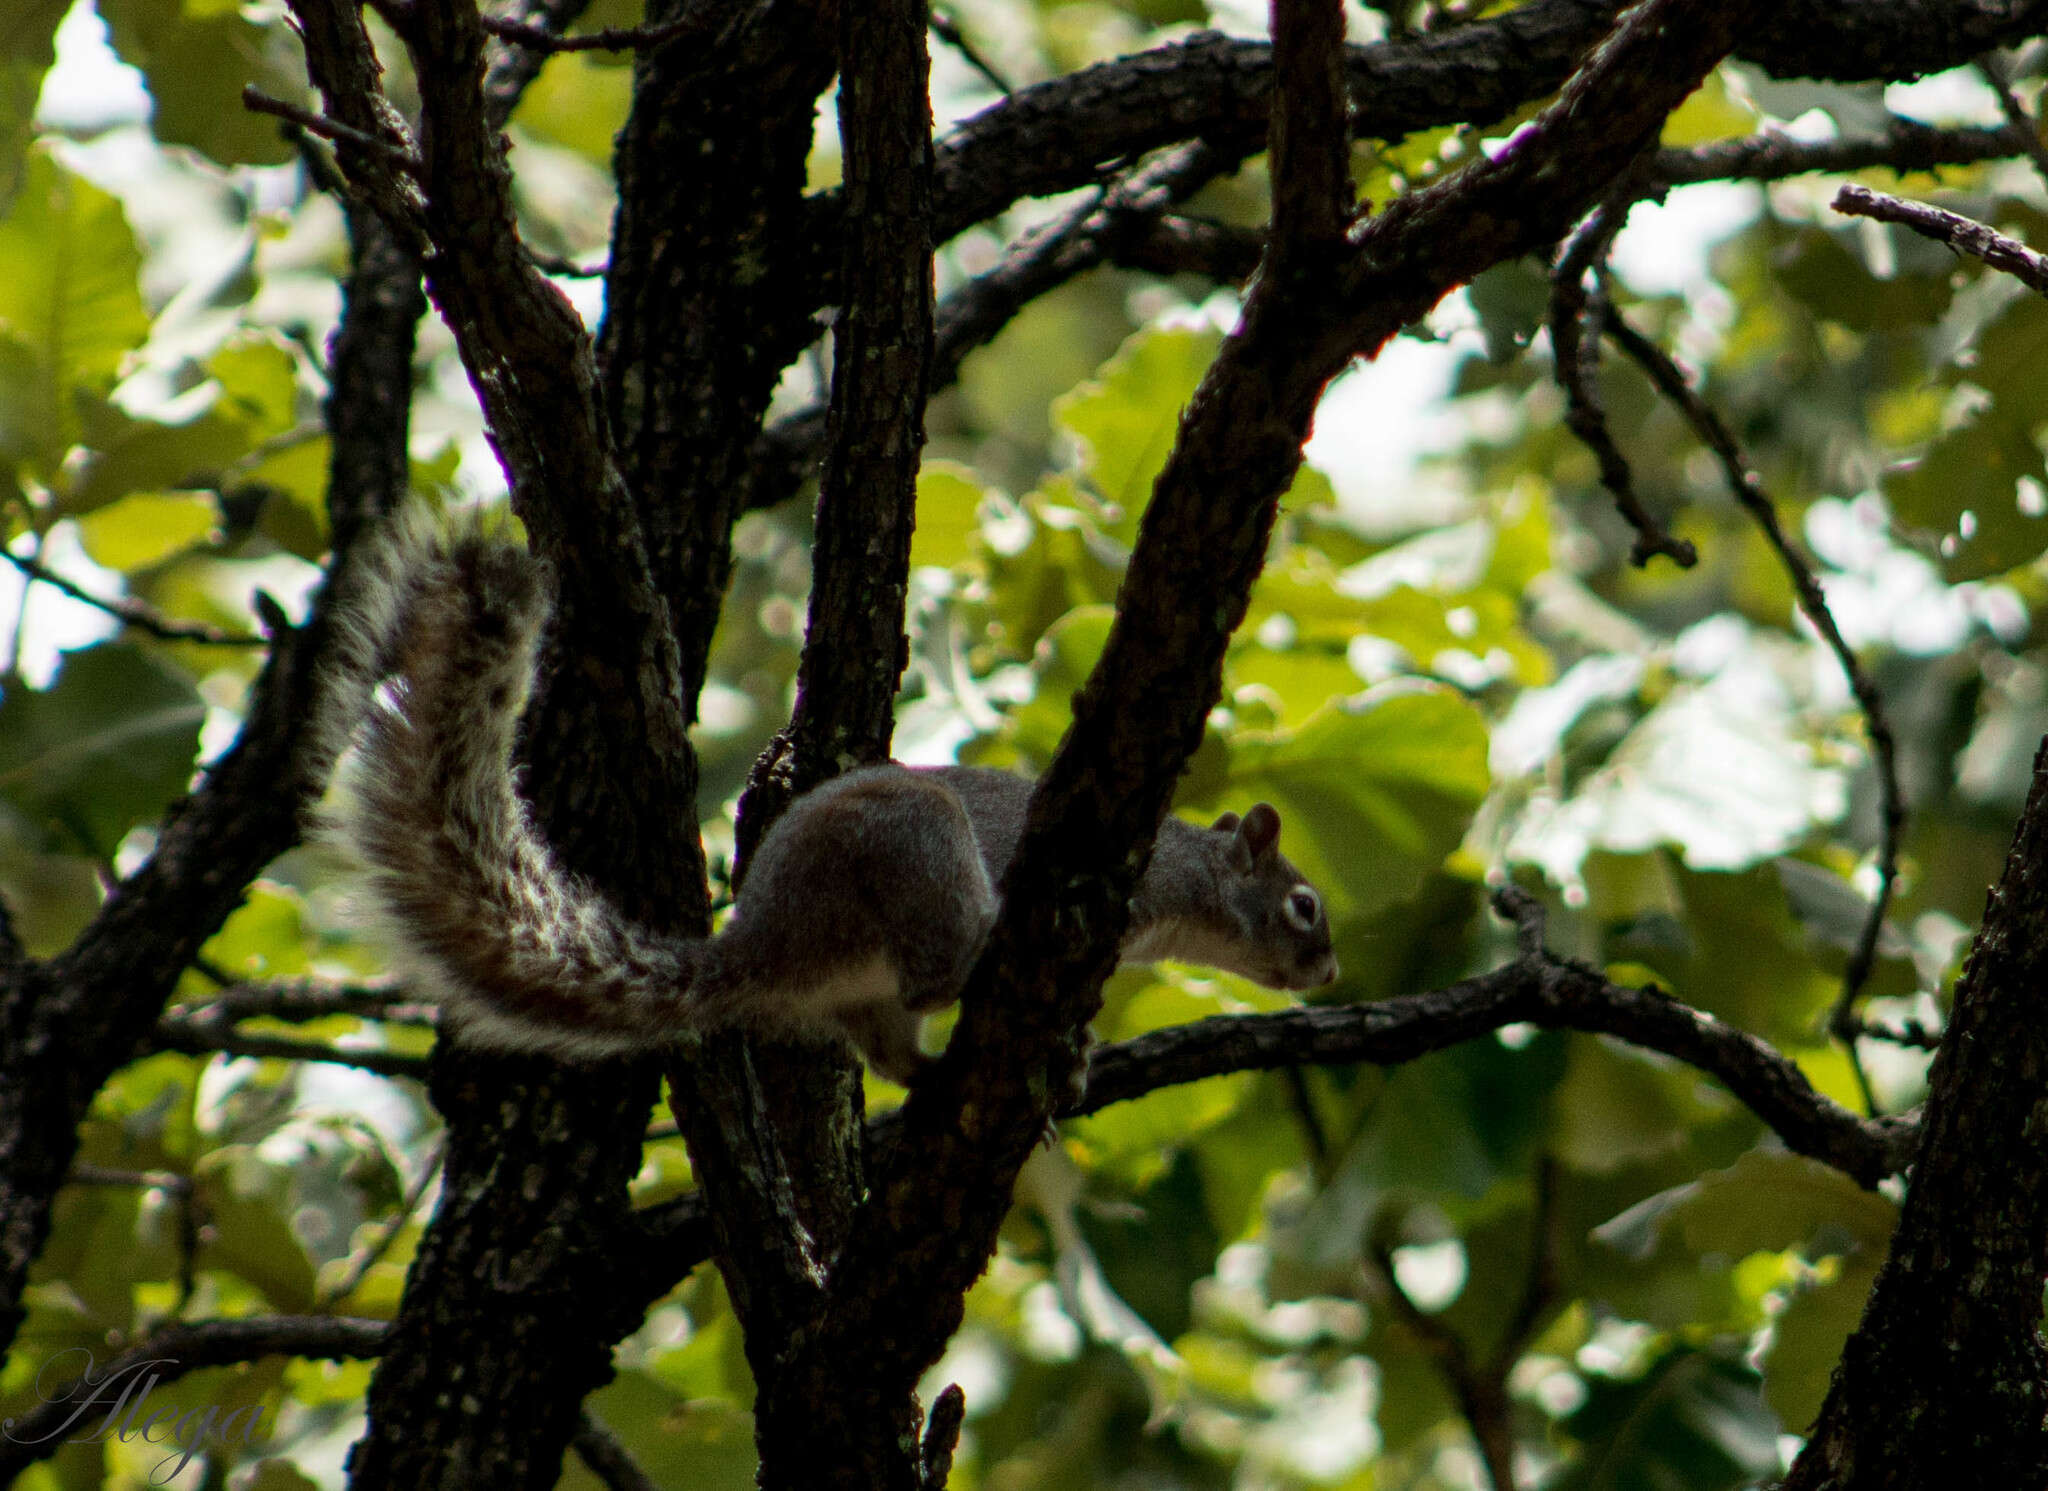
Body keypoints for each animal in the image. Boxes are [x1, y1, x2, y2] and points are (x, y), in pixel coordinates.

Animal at [315, 516, 1343, 1081]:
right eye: (1303, 904)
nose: (1331, 971)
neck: (1187, 876)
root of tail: (770, 939)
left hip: (866, 992)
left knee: (891, 1045)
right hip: (918, 851)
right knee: (932, 972)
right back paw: (982, 956)